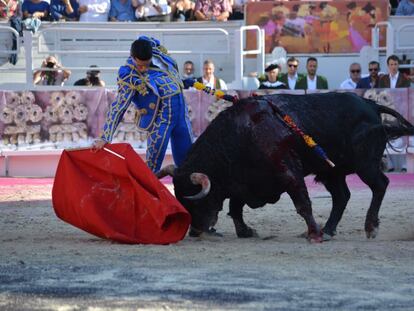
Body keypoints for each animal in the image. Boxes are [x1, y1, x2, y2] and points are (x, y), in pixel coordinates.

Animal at [158, 91, 414, 243]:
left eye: (196, 199)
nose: (195, 231)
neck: (241, 134)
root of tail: (371, 104)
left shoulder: (289, 173)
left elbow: (302, 204)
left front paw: (314, 234)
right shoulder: (242, 181)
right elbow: (235, 208)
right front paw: (245, 231)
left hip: (365, 164)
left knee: (380, 185)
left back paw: (369, 227)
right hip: (332, 171)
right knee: (342, 196)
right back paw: (329, 229)